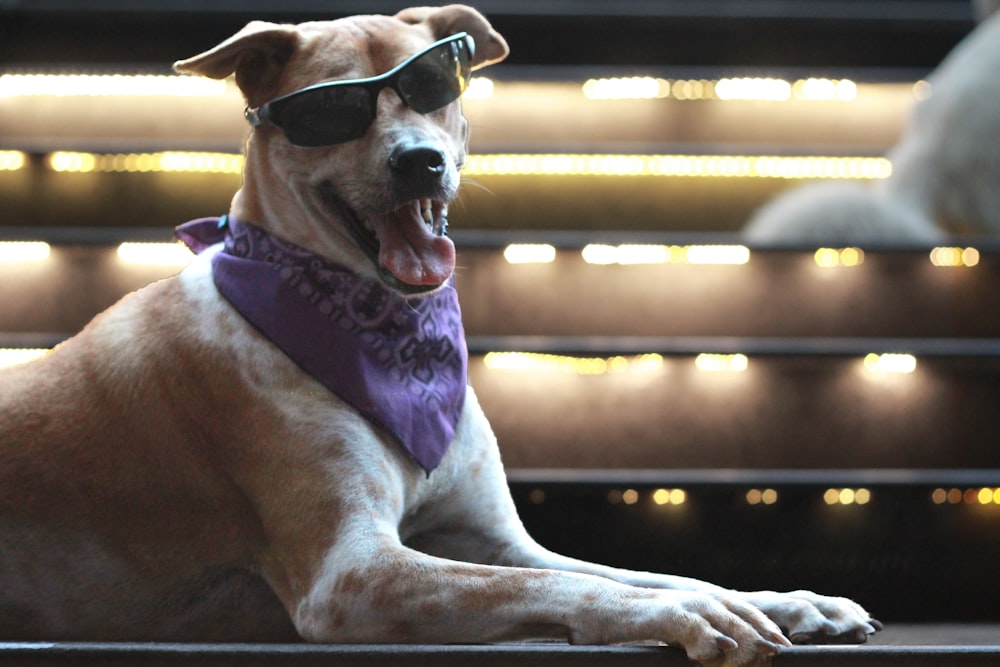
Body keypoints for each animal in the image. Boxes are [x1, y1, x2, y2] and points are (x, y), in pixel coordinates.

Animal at [0, 6, 880, 667]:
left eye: (432, 85)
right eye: (332, 111)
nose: (419, 162)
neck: (386, 335)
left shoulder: (496, 541)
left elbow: (632, 570)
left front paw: (781, 599)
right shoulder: (353, 574)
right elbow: (580, 588)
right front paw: (694, 613)